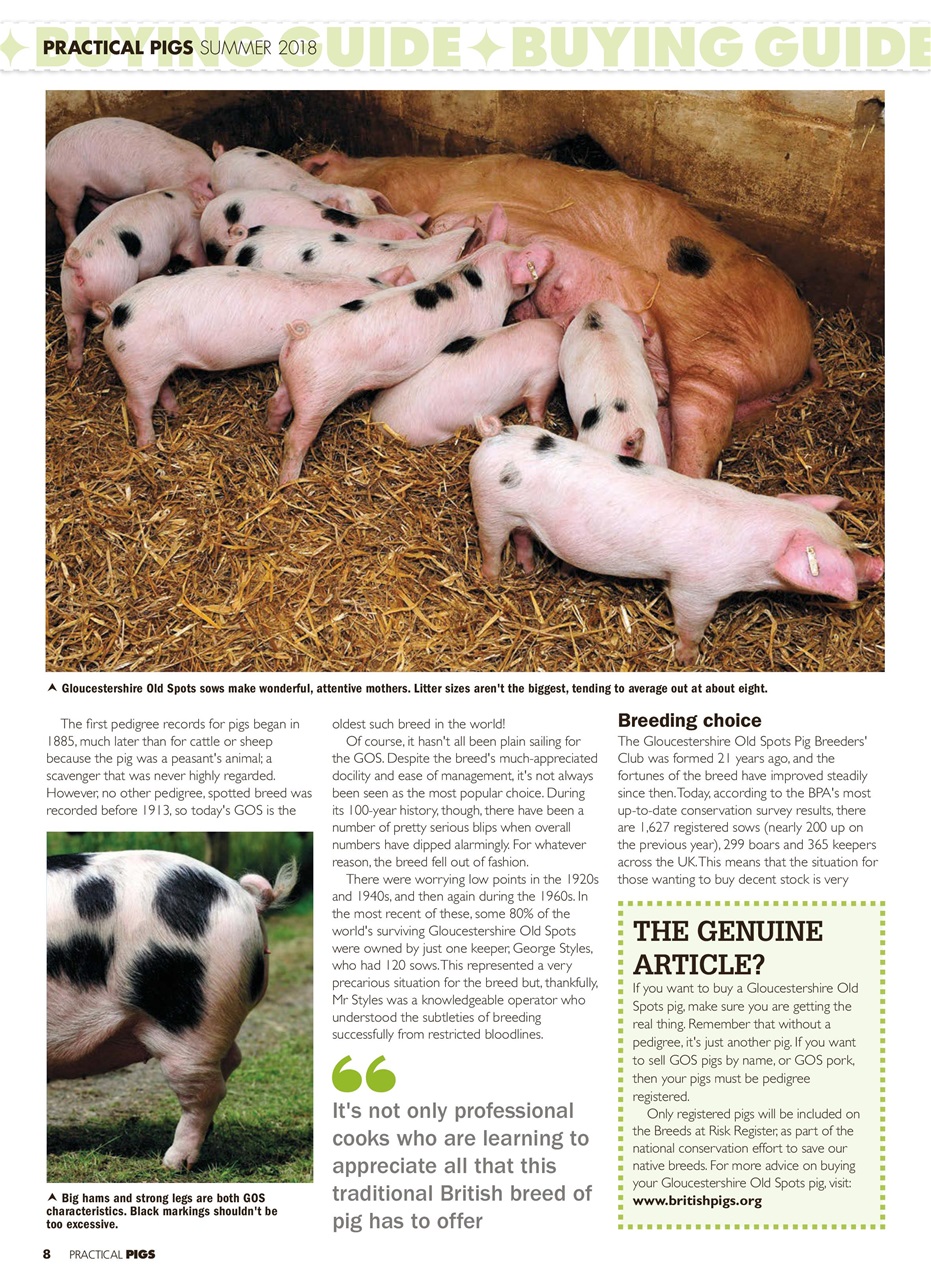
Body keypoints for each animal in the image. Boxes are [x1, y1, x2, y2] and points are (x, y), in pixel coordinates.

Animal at [46, 117, 214, 247]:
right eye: (211, 187)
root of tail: (48, 151)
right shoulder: (158, 182)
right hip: (67, 188)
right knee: (63, 215)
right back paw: (72, 239)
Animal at [59, 188, 208, 374]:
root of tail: (78, 262)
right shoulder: (189, 234)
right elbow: (194, 254)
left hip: (69, 299)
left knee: (74, 332)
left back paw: (74, 367)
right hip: (115, 285)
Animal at [101, 267, 387, 449]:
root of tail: (116, 312)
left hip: (156, 365)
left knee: (162, 389)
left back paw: (177, 413)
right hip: (138, 365)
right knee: (137, 406)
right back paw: (148, 446)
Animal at [469, 419, 884, 665]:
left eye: (848, 540)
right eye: (845, 554)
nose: (879, 565)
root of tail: (494, 433)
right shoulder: (696, 588)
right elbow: (690, 622)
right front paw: (687, 660)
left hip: (522, 516)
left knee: (524, 537)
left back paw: (527, 569)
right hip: (490, 505)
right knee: (491, 545)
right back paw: (493, 580)